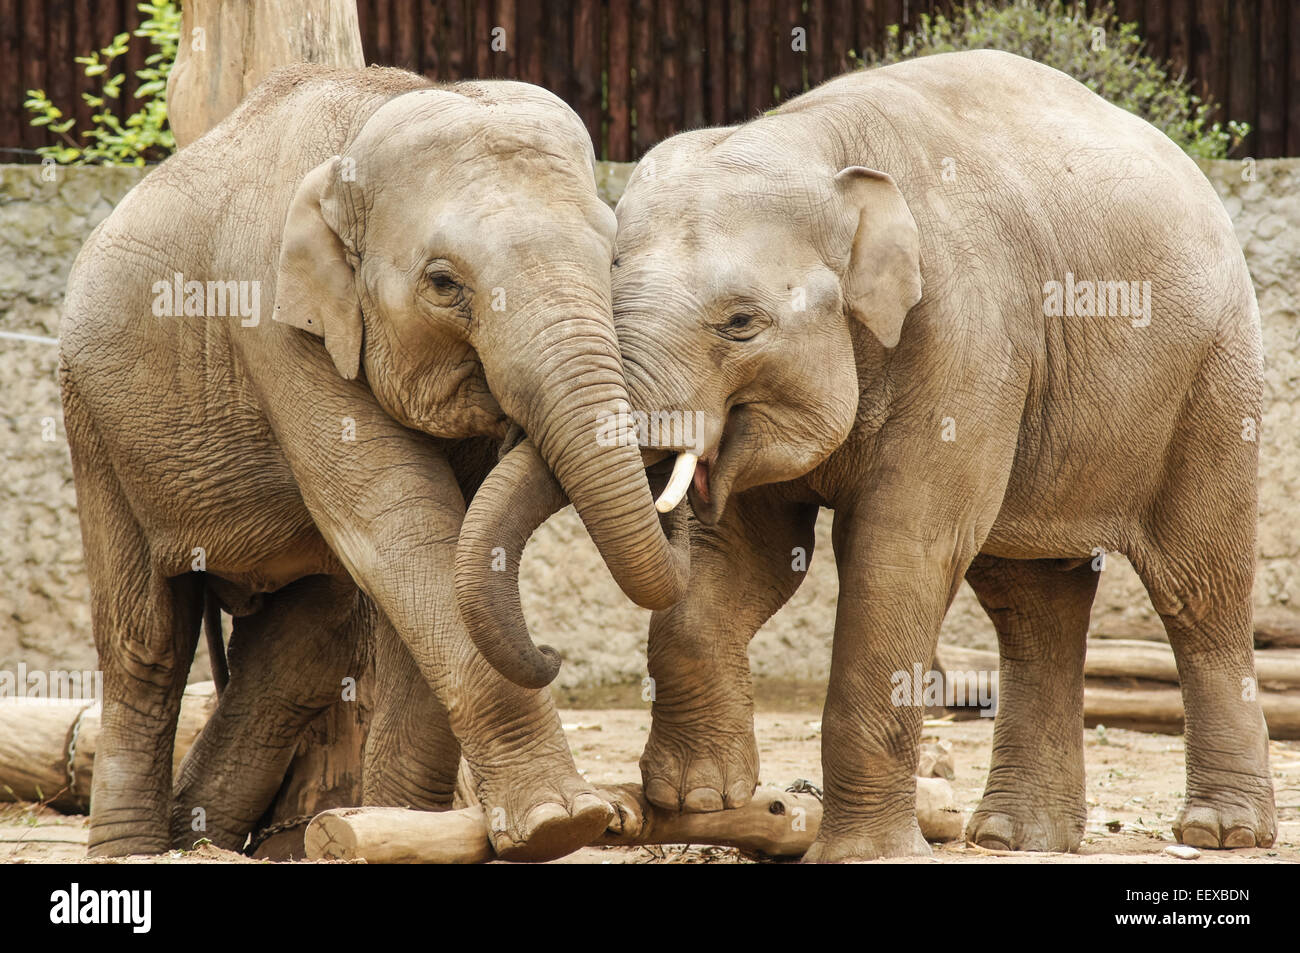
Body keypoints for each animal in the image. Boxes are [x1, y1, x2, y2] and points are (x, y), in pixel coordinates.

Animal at [58, 63, 691, 858]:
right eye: (444, 283)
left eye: (612, 259)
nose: (551, 652)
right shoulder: (276, 321)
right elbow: (401, 525)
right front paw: (560, 822)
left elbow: (442, 547)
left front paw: (403, 826)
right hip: (95, 422)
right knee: (146, 641)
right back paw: (136, 847)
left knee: (302, 644)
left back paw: (201, 832)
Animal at [470, 48, 1279, 858]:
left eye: (740, 323)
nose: (552, 656)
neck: (819, 144)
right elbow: (751, 555)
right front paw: (699, 797)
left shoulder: (970, 336)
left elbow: (903, 550)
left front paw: (864, 853)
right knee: (1030, 601)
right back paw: (1015, 836)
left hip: (1214, 377)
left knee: (1197, 588)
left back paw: (1221, 830)